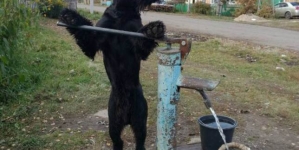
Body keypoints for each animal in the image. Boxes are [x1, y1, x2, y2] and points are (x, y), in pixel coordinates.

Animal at [58, 0, 166, 149]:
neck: (123, 11)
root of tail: (126, 118)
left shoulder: (137, 43)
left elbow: (143, 42)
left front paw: (153, 29)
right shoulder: (94, 40)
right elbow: (85, 34)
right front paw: (71, 17)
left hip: (140, 122)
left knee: (139, 141)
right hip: (113, 125)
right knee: (118, 141)